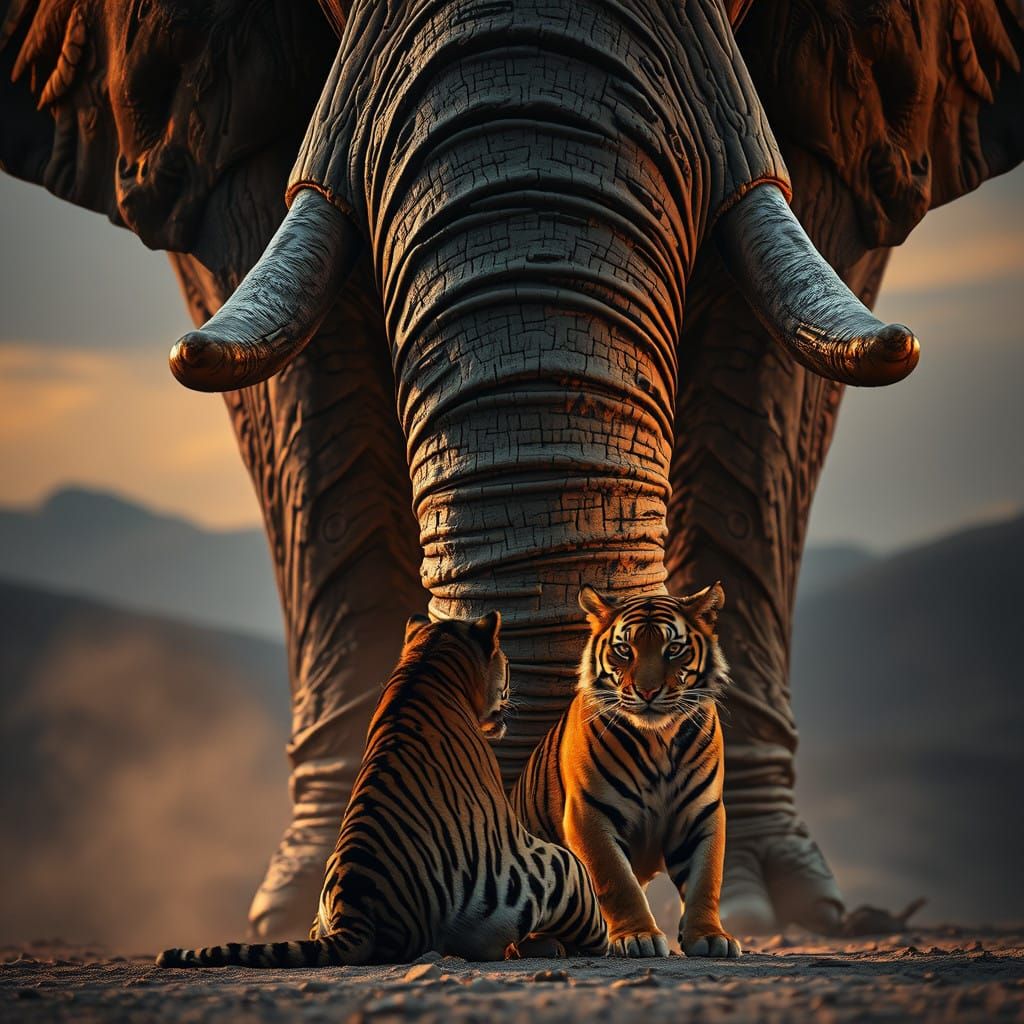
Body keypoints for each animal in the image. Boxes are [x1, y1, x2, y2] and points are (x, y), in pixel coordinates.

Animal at [512, 584, 740, 959]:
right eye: (624, 650)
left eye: (673, 649)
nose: (647, 692)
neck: (659, 738)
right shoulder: (588, 813)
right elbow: (617, 880)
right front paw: (639, 936)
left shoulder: (702, 811)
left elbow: (706, 878)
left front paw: (710, 937)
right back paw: (547, 945)